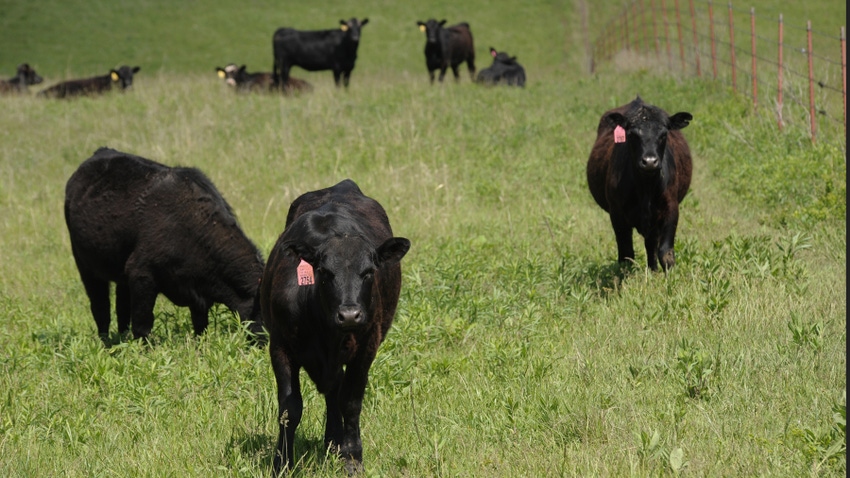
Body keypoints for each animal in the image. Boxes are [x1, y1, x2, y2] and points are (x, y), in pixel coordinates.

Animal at [262, 179, 410, 474]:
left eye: (369, 272)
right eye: (324, 272)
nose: (350, 315)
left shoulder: (366, 347)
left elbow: (350, 402)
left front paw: (352, 458)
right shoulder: (280, 346)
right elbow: (289, 408)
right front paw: (282, 462)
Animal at [588, 95, 692, 270]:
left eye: (664, 134)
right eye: (632, 134)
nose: (649, 161)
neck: (646, 188)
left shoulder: (671, 208)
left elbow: (666, 253)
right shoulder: (617, 213)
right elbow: (626, 254)